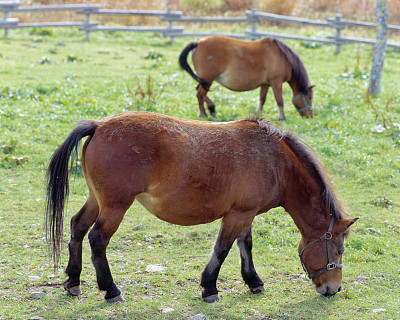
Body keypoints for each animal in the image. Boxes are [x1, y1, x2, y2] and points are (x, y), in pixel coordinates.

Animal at [46, 111, 356, 304]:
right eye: (339, 250)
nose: (334, 288)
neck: (274, 161)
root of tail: (99, 125)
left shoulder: (245, 215)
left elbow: (245, 246)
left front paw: (253, 281)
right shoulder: (237, 215)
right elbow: (222, 249)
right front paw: (209, 287)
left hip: (97, 201)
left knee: (77, 227)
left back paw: (73, 280)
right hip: (115, 207)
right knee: (97, 239)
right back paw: (111, 289)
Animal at [180, 35, 314, 120]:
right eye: (310, 97)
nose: (310, 116)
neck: (282, 56)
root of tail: (198, 43)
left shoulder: (266, 84)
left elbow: (262, 100)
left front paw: (259, 115)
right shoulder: (276, 82)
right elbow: (279, 101)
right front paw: (282, 117)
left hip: (205, 80)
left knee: (199, 92)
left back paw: (212, 109)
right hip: (208, 80)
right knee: (200, 95)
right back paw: (203, 114)